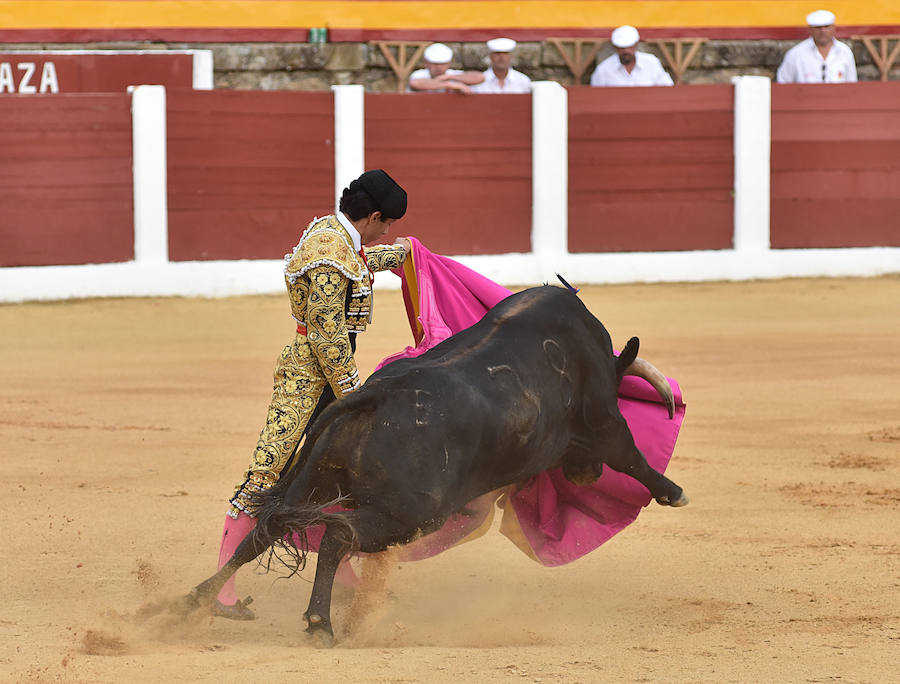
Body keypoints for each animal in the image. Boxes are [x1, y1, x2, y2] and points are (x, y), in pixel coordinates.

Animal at [185, 284, 688, 640]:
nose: (585, 475)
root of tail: (373, 396)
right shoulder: (604, 415)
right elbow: (632, 455)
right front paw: (674, 492)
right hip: (413, 514)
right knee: (337, 535)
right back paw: (319, 625)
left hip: (315, 482)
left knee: (263, 530)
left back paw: (191, 604)